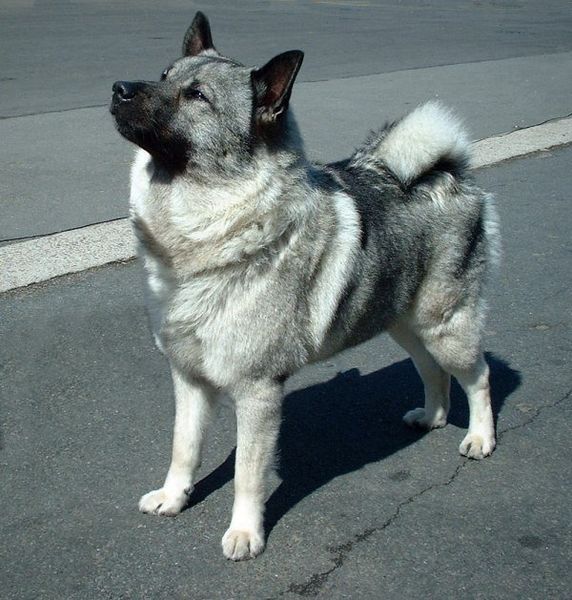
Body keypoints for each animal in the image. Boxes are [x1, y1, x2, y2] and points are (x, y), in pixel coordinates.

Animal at [110, 11, 500, 560]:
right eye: (164, 76)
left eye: (197, 96)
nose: (119, 88)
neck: (206, 225)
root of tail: (449, 174)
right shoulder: (189, 378)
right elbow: (183, 446)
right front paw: (174, 496)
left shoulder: (257, 393)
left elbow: (247, 474)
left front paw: (245, 532)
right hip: (402, 323)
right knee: (432, 372)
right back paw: (432, 416)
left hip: (445, 326)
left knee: (479, 376)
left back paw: (480, 438)